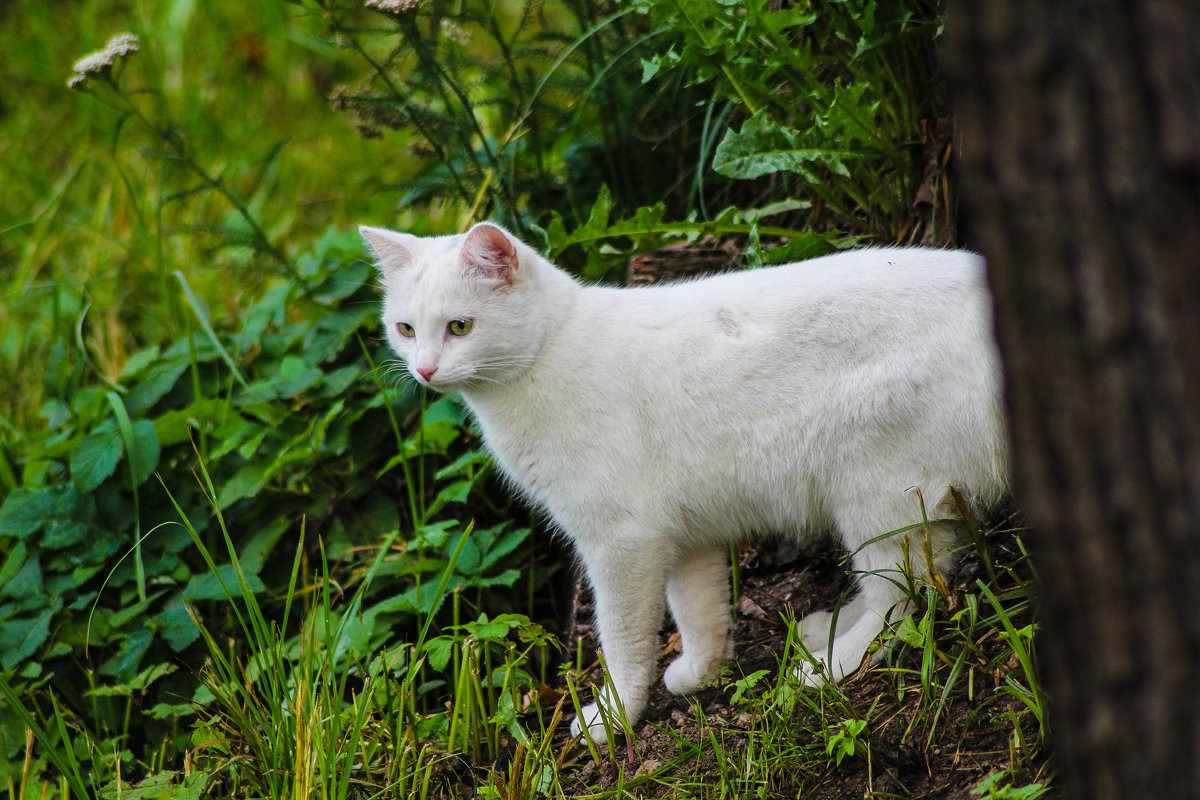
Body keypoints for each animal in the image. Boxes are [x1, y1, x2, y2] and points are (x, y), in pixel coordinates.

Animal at [360, 221, 1008, 743]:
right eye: (406, 329)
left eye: (460, 326)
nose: (424, 369)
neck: (547, 355)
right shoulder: (684, 537)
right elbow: (698, 610)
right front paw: (701, 672)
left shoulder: (621, 542)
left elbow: (623, 639)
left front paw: (615, 714)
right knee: (922, 577)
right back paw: (827, 629)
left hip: (872, 492)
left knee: (905, 598)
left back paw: (834, 662)